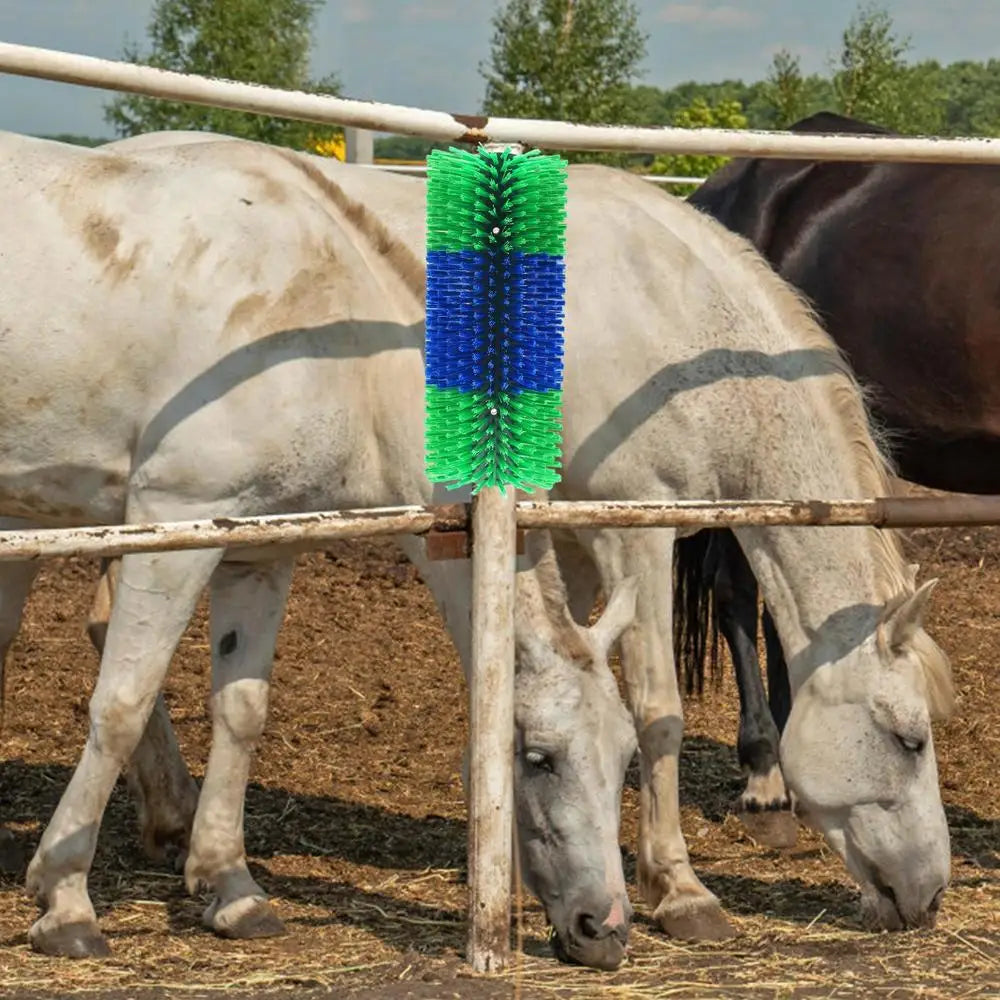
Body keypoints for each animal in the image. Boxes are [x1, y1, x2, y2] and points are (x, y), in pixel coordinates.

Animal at [0, 130, 951, 967]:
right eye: (909, 739)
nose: (929, 894)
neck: (675, 317)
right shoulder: (627, 525)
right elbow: (659, 709)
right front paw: (683, 892)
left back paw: (167, 820)